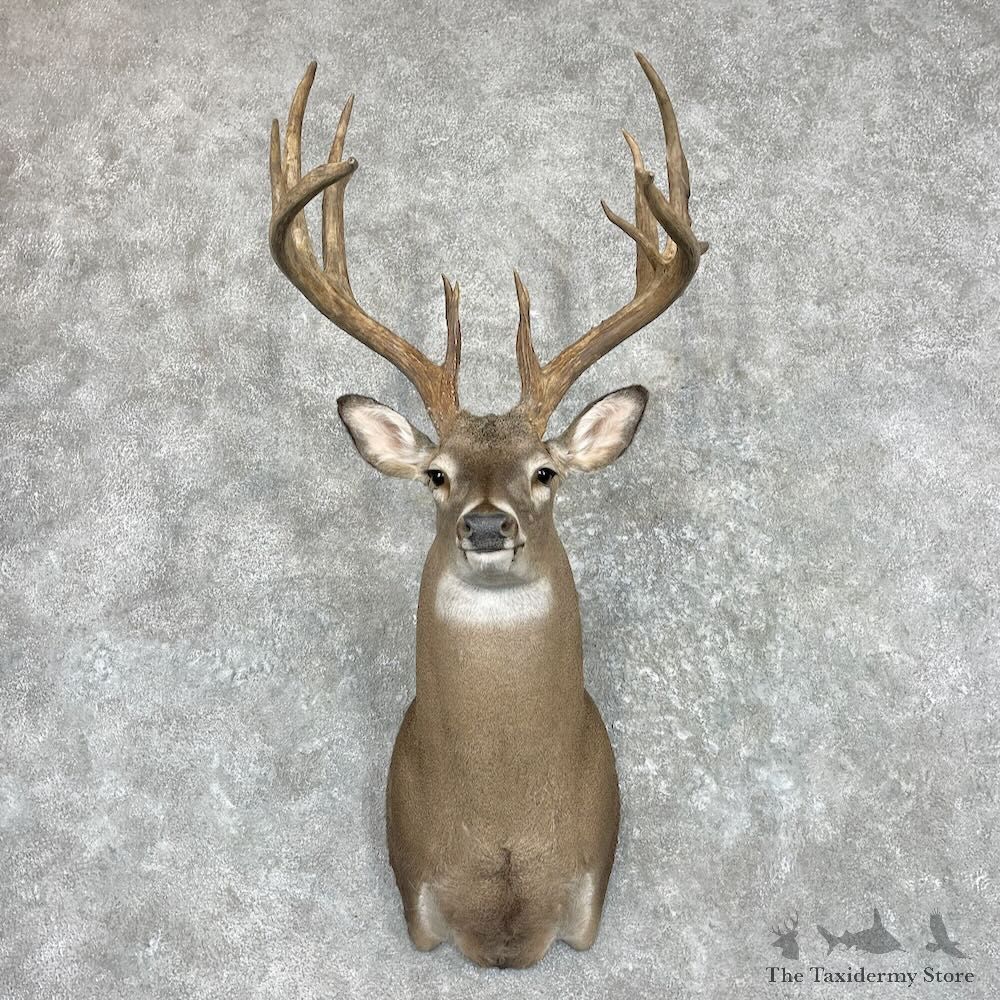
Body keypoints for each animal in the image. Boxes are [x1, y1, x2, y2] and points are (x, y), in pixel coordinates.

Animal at [268, 52, 707, 969]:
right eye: (436, 474)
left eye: (546, 472)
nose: (486, 525)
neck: (502, 842)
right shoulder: (418, 901)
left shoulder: (588, 898)